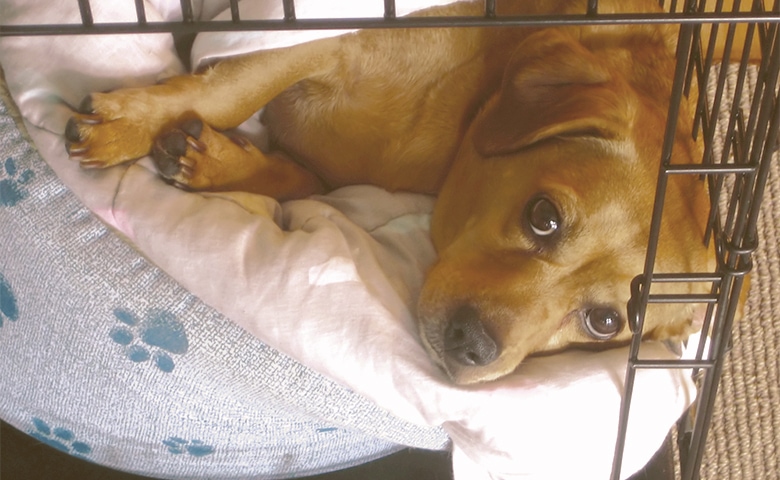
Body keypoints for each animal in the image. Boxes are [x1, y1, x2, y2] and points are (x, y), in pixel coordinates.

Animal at [67, 0, 724, 382]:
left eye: (605, 323)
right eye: (544, 216)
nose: (472, 348)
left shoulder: (323, 163)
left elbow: (296, 176)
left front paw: (216, 163)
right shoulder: (317, 34)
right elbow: (232, 92)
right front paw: (127, 125)